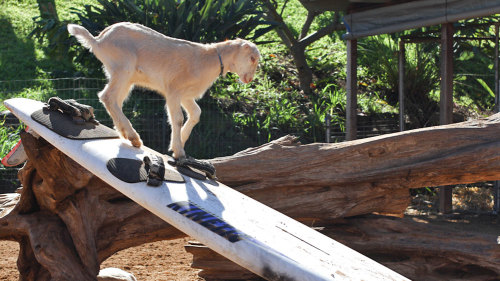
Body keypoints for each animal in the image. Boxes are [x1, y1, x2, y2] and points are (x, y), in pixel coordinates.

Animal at [68, 21, 260, 158]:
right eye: (252, 58)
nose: (249, 79)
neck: (207, 59)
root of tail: (98, 40)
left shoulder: (186, 95)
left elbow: (196, 113)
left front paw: (179, 141)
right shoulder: (174, 90)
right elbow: (177, 118)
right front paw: (179, 151)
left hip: (123, 76)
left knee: (114, 100)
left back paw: (126, 134)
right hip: (123, 68)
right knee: (107, 96)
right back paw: (133, 136)